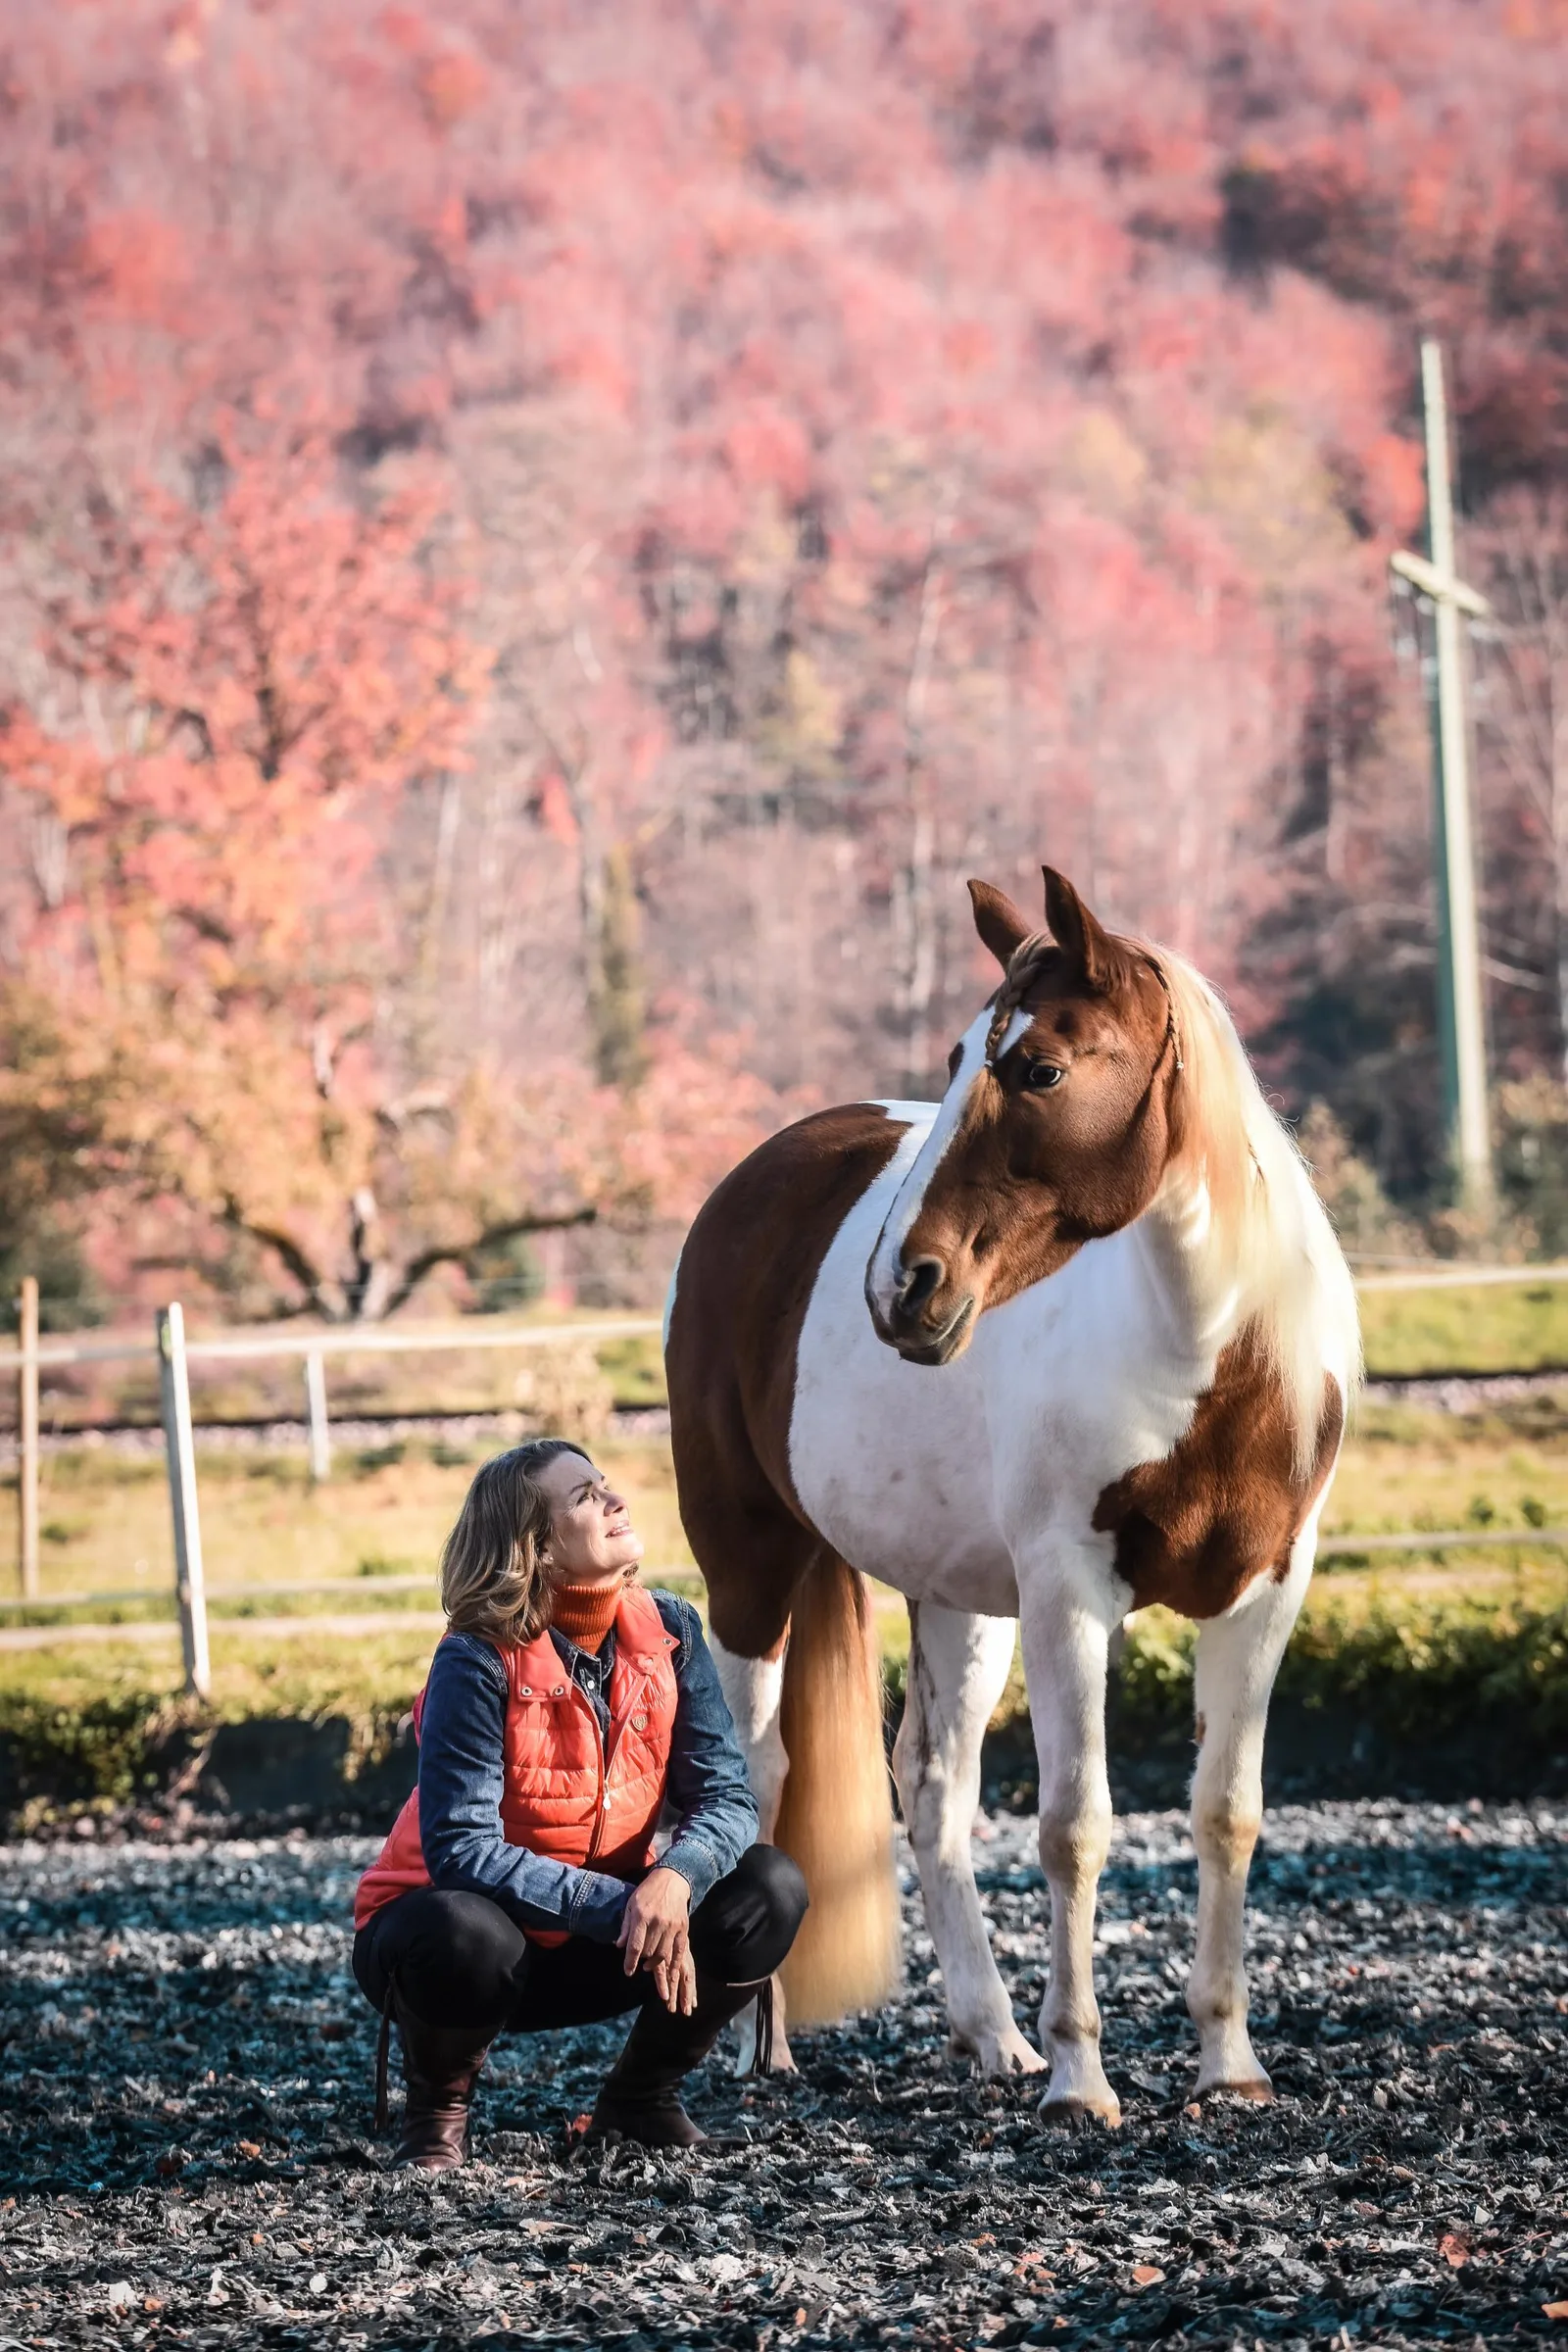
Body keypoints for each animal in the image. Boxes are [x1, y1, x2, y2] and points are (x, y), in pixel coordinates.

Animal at [664, 867, 1359, 2120]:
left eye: (1038, 1068)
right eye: (954, 1059)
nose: (899, 1286)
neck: (1202, 1357)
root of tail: (755, 1181)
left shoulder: (1264, 1592)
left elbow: (1226, 1813)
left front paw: (1227, 2065)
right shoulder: (1069, 1595)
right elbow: (1074, 1826)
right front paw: (1083, 2080)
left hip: (960, 1602)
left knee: (930, 1788)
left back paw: (991, 2037)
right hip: (750, 1566)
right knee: (762, 1771)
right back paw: (759, 2044)